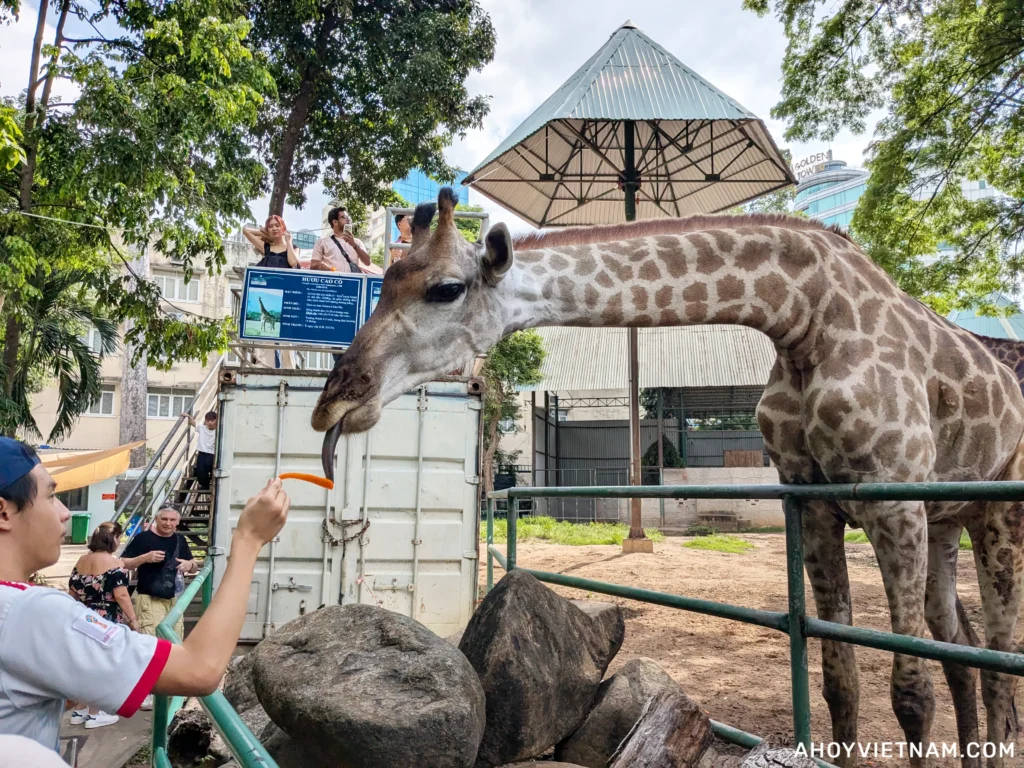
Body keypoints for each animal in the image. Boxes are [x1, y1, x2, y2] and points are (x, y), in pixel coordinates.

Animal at [310, 187, 1024, 767]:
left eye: (445, 289)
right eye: (387, 279)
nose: (333, 405)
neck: (802, 317)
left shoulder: (890, 498)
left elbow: (910, 692)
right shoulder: (814, 502)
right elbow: (840, 682)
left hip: (995, 513)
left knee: (995, 656)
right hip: (946, 519)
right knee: (962, 649)